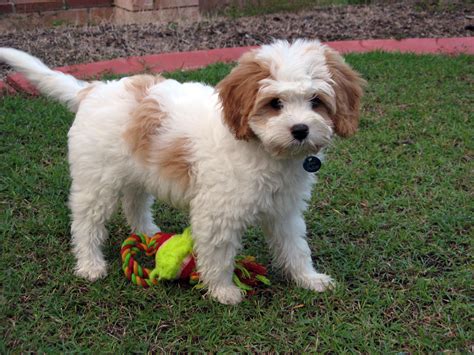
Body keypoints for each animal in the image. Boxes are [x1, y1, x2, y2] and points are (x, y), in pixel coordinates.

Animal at [0, 40, 364, 304]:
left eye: (316, 101)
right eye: (275, 103)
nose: (301, 130)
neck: (262, 148)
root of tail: (94, 90)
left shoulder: (285, 208)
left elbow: (295, 246)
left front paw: (308, 278)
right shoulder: (218, 212)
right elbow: (218, 254)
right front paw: (223, 290)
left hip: (138, 171)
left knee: (134, 202)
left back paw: (147, 233)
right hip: (97, 180)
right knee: (86, 222)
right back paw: (90, 264)